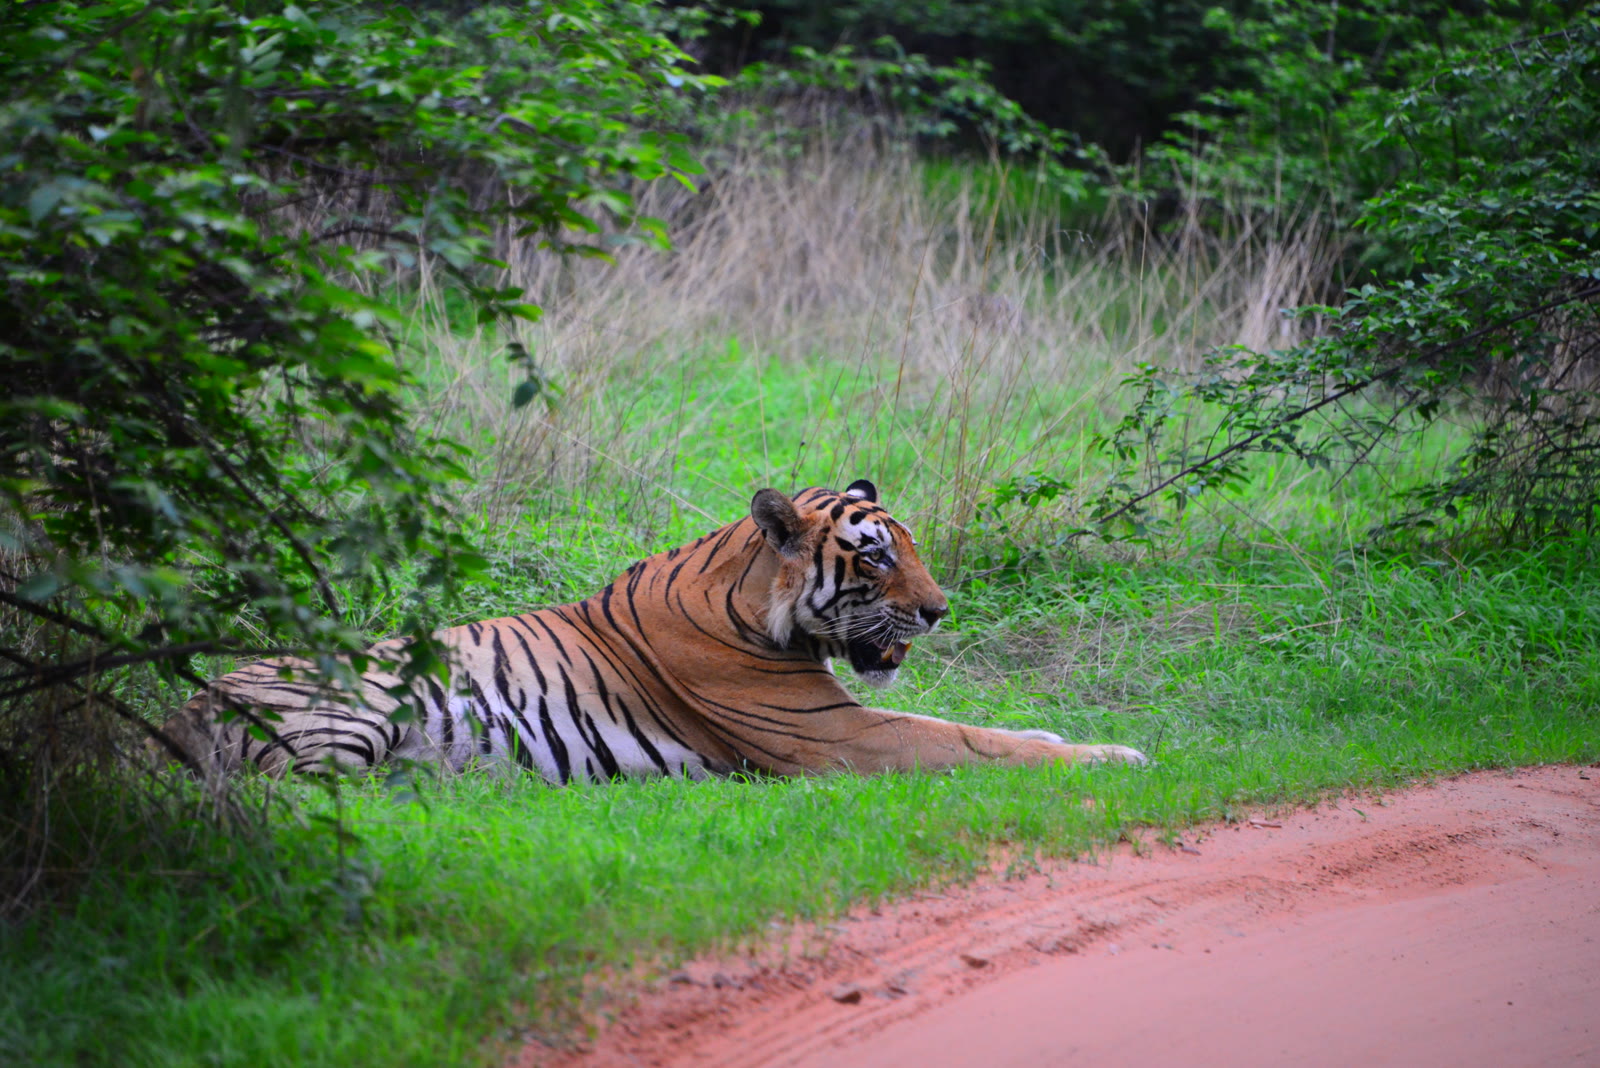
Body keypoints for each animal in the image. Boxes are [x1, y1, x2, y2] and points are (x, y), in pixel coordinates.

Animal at [160, 480, 1146, 781]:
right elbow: (968, 740)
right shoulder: (838, 737)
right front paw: (1116, 755)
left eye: (910, 549)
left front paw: (1058, 735)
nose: (940, 611)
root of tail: (178, 711)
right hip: (354, 710)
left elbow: (985, 728)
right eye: (873, 560)